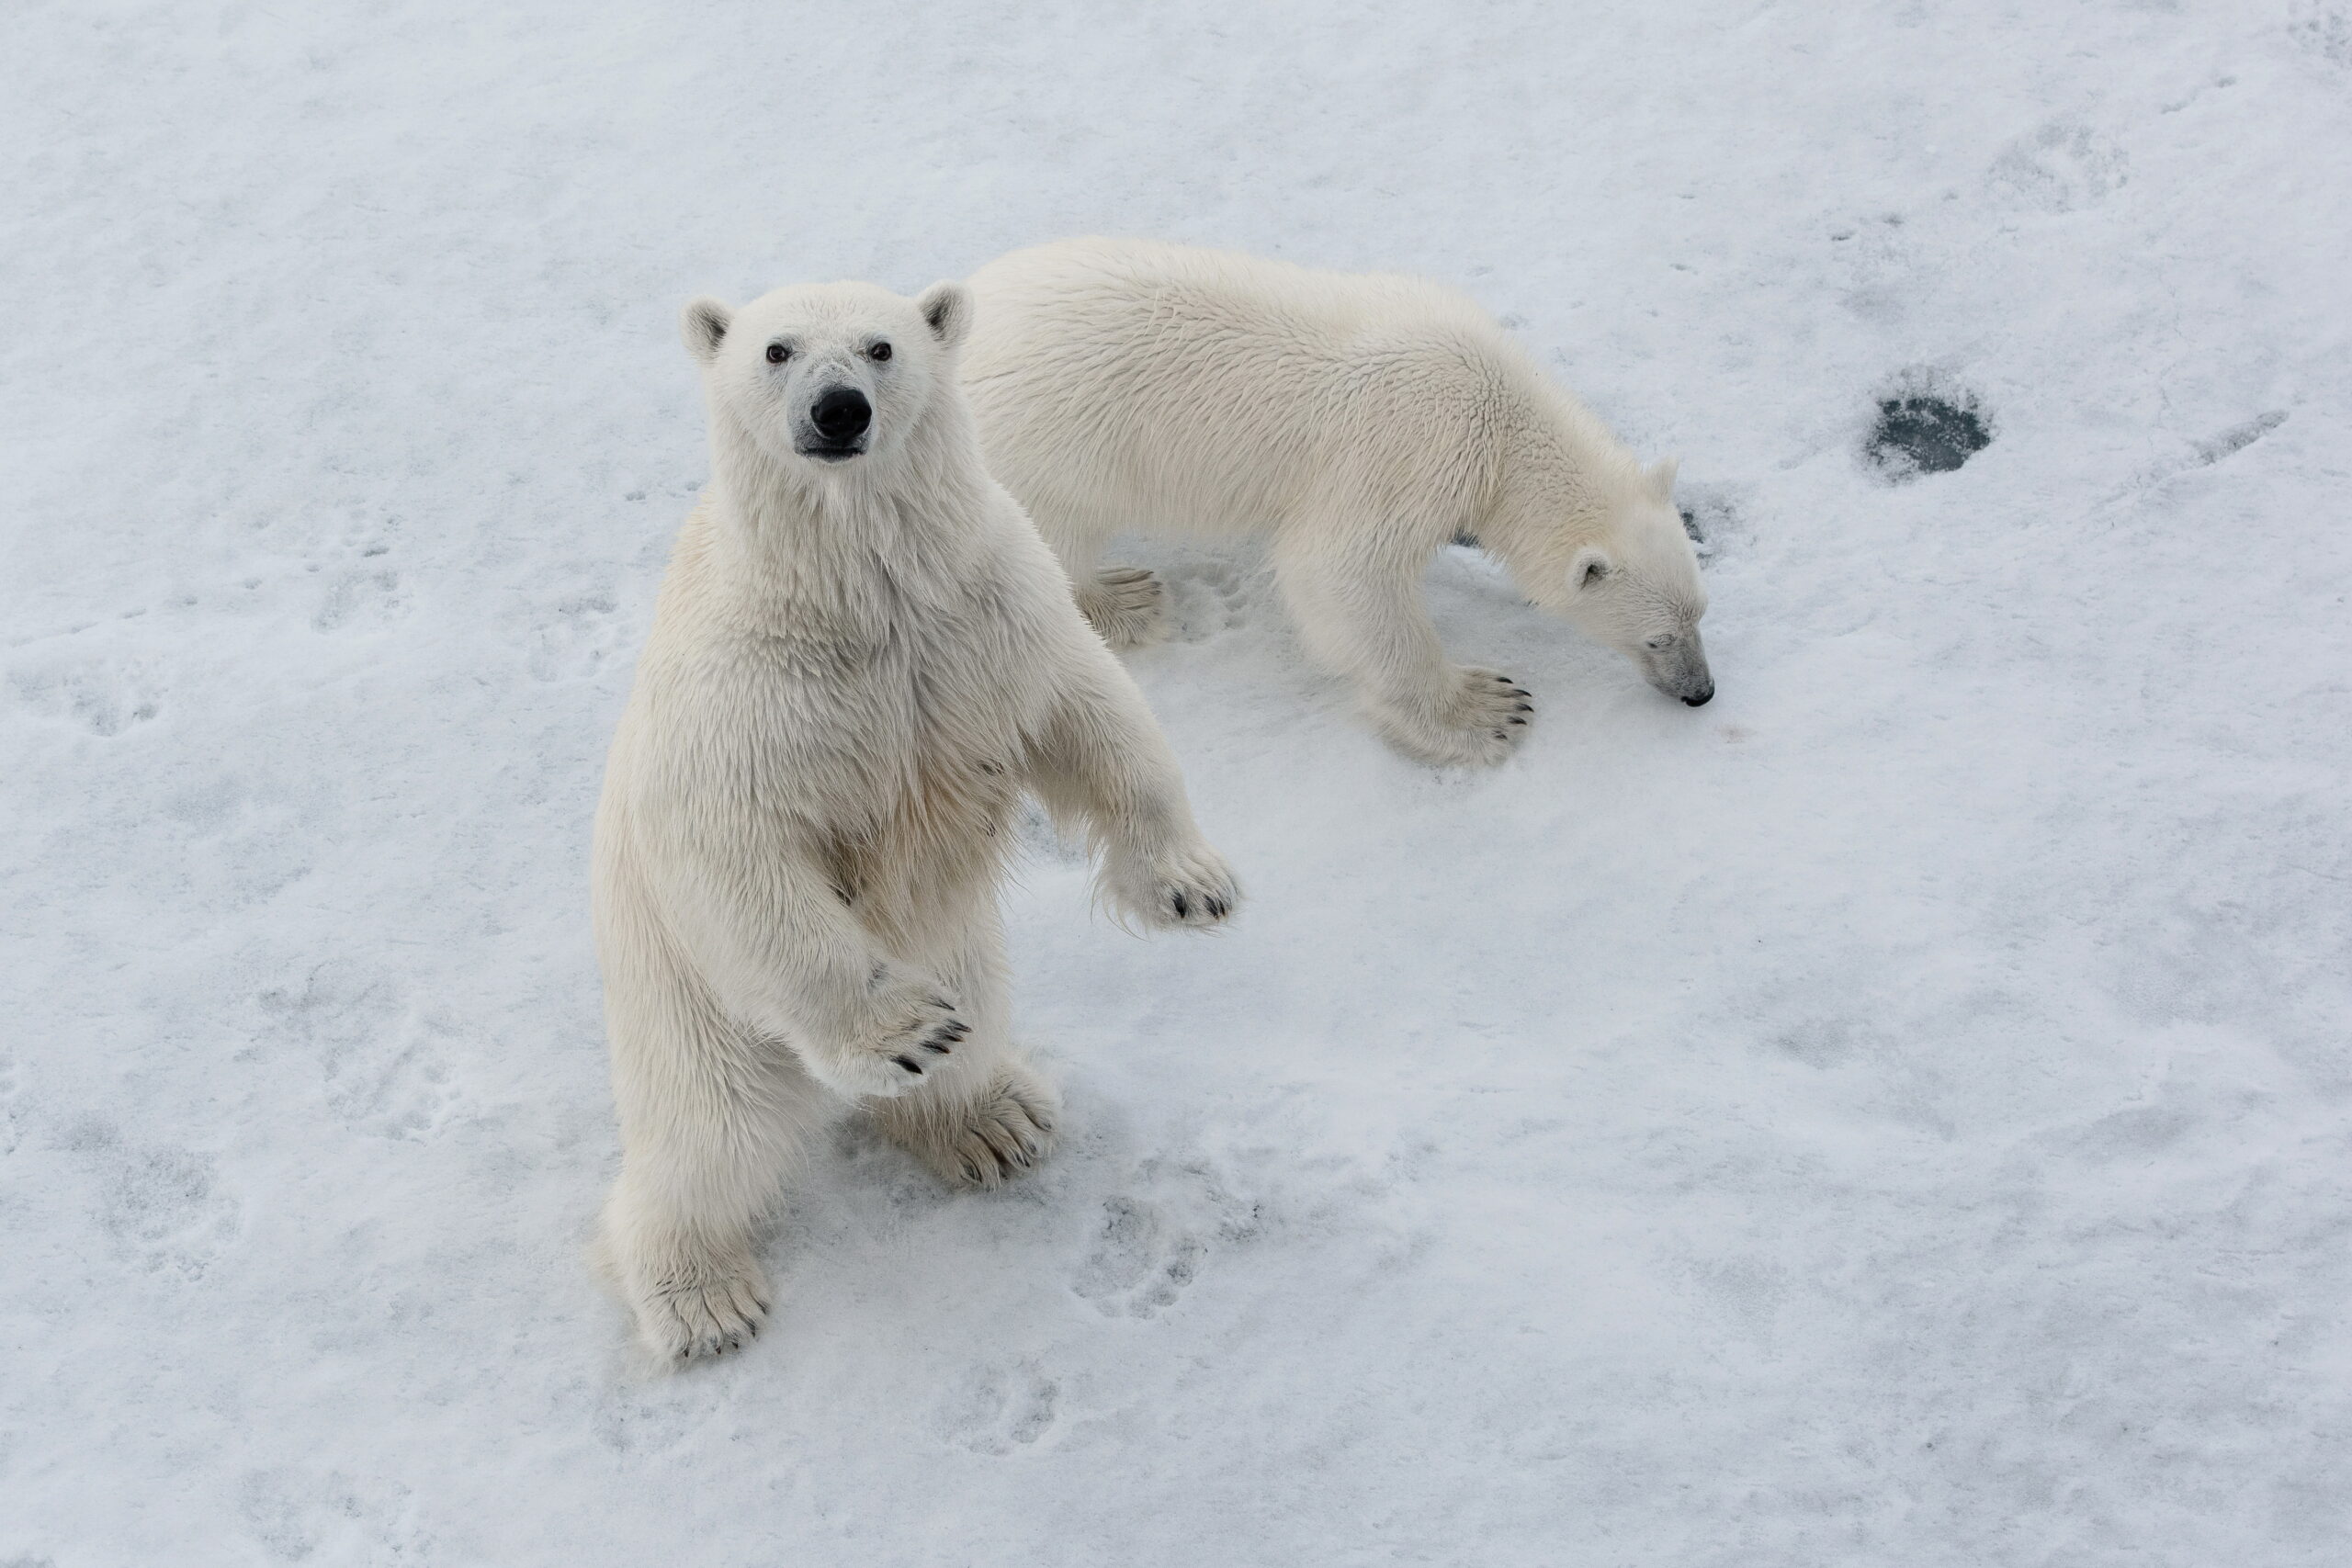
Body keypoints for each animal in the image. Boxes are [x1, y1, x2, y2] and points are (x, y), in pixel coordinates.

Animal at [597, 272, 1241, 1363]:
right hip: (687, 998)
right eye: (775, 349)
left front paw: (1191, 885)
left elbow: (1086, 711)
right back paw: (704, 1298)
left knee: (974, 1023)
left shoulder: (984, 613)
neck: (859, 591)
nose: (837, 410)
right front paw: (902, 1032)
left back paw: (994, 1120)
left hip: (962, 945)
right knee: (709, 1133)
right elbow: (735, 844)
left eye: (881, 346)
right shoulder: (743, 691)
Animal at [955, 236, 1712, 771]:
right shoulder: (1415, 449)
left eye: (1700, 614)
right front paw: (1486, 708)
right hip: (1050, 446)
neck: (1503, 417)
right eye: (1658, 638)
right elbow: (1342, 572)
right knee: (1054, 536)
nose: (1700, 691)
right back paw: (1126, 599)